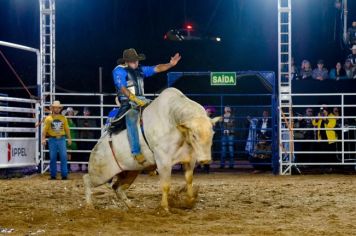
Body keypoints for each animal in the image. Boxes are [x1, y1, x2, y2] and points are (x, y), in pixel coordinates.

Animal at [84, 87, 217, 211]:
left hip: (130, 171)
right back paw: (89, 205)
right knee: (87, 179)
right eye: (194, 135)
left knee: (117, 188)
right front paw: (164, 207)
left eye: (212, 133)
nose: (206, 160)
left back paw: (131, 206)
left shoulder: (190, 158)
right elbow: (165, 185)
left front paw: (189, 201)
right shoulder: (163, 161)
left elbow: (189, 179)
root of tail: (96, 147)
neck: (173, 119)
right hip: (100, 174)